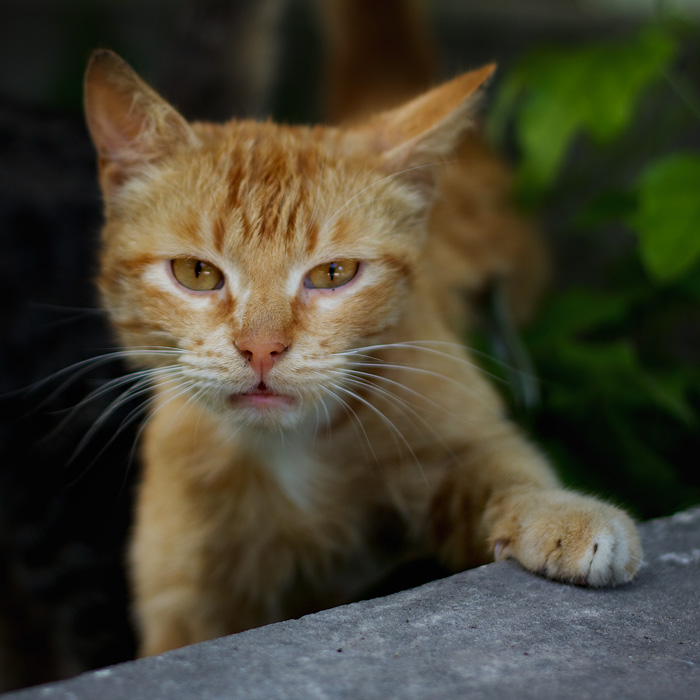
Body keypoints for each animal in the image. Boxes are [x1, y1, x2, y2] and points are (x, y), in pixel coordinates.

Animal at [82, 43, 640, 656]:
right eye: (196, 273)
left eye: (334, 273)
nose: (262, 349)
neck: (289, 451)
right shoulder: (184, 597)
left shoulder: (451, 441)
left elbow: (505, 471)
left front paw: (563, 515)